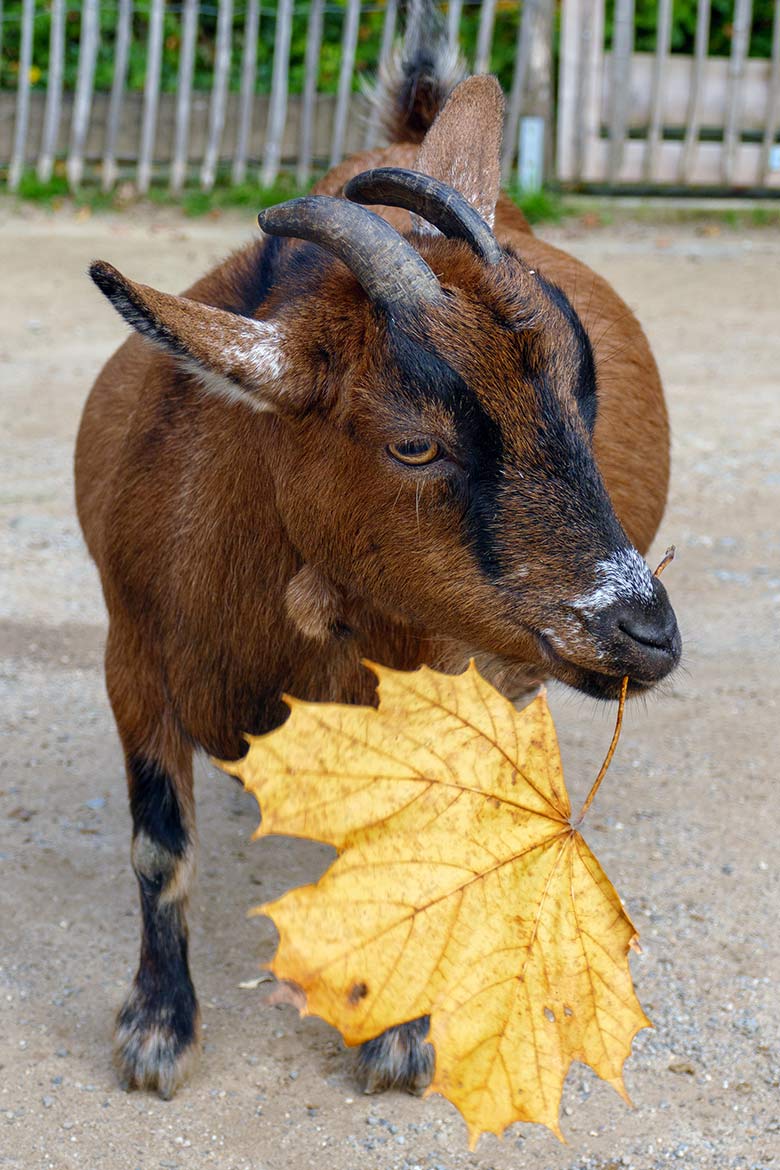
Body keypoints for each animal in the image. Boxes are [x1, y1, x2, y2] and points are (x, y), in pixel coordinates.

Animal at [76, 29, 678, 1104]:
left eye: (584, 393)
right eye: (414, 445)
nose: (646, 630)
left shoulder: (432, 678)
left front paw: (399, 1037)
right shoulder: (132, 654)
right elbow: (158, 847)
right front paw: (156, 1031)